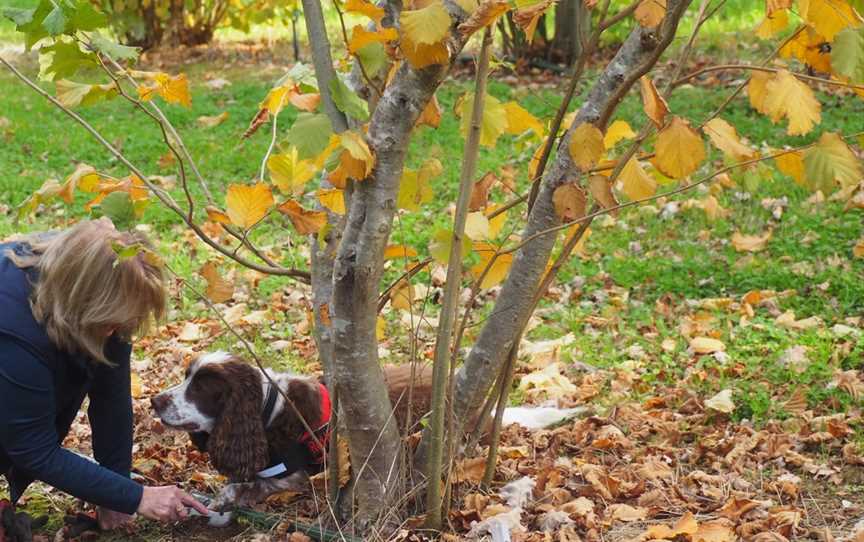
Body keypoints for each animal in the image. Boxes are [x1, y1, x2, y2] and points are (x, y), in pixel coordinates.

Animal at [152, 352, 432, 510]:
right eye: (186, 377)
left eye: (199, 388)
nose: (154, 401)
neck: (266, 413)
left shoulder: (295, 478)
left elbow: (252, 485)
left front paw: (227, 497)